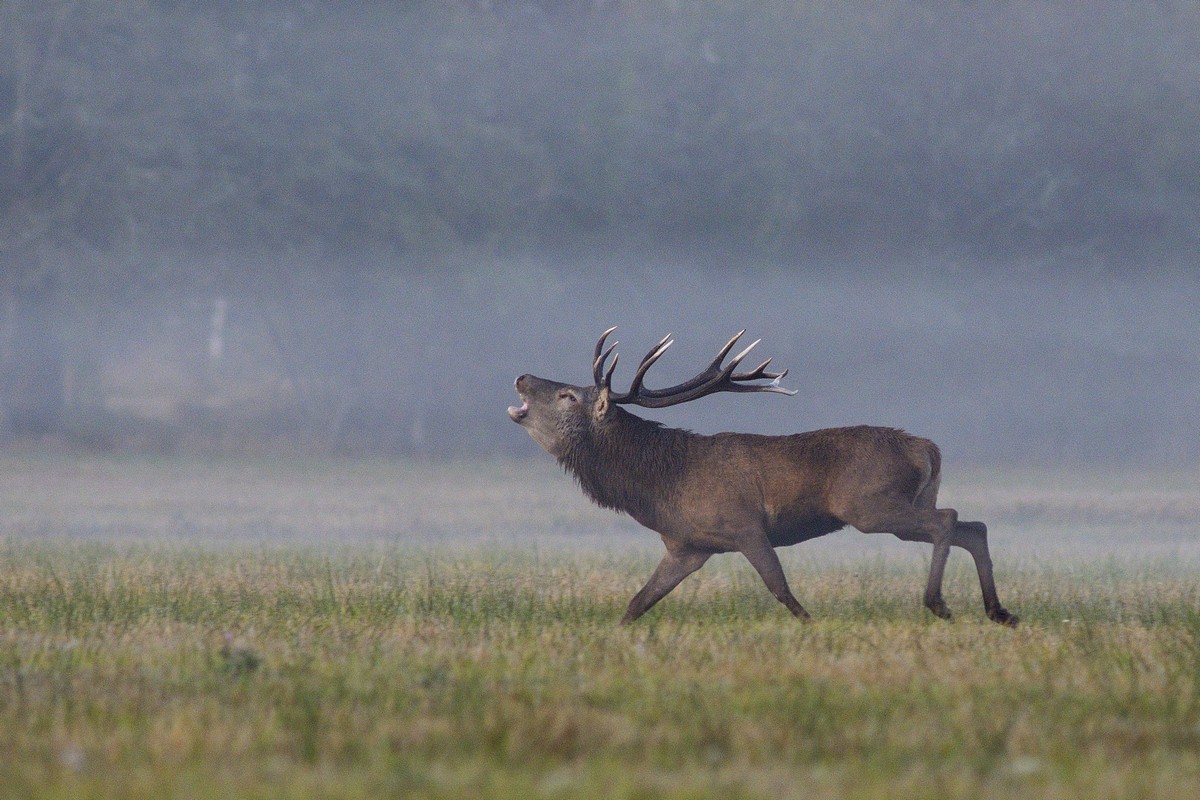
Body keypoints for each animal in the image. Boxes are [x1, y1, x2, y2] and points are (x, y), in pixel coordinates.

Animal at [504, 328, 1012, 628]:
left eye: (569, 396)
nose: (522, 376)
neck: (661, 488)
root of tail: (927, 447)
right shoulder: (687, 546)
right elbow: (638, 602)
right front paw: (619, 633)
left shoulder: (744, 526)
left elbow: (780, 588)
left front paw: (810, 625)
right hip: (905, 503)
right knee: (973, 525)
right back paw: (999, 611)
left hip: (870, 505)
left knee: (949, 519)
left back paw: (939, 603)